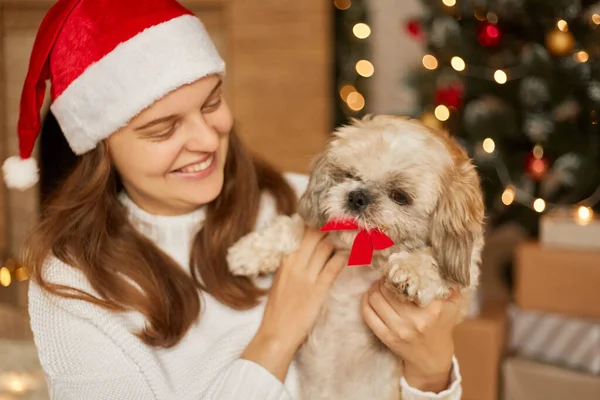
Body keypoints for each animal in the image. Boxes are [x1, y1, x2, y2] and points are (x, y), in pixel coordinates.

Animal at [227, 115, 486, 400]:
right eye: (349, 175)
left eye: (400, 196)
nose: (357, 196)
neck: (368, 259)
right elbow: (291, 227)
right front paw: (248, 252)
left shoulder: (466, 279)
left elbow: (435, 261)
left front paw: (412, 271)